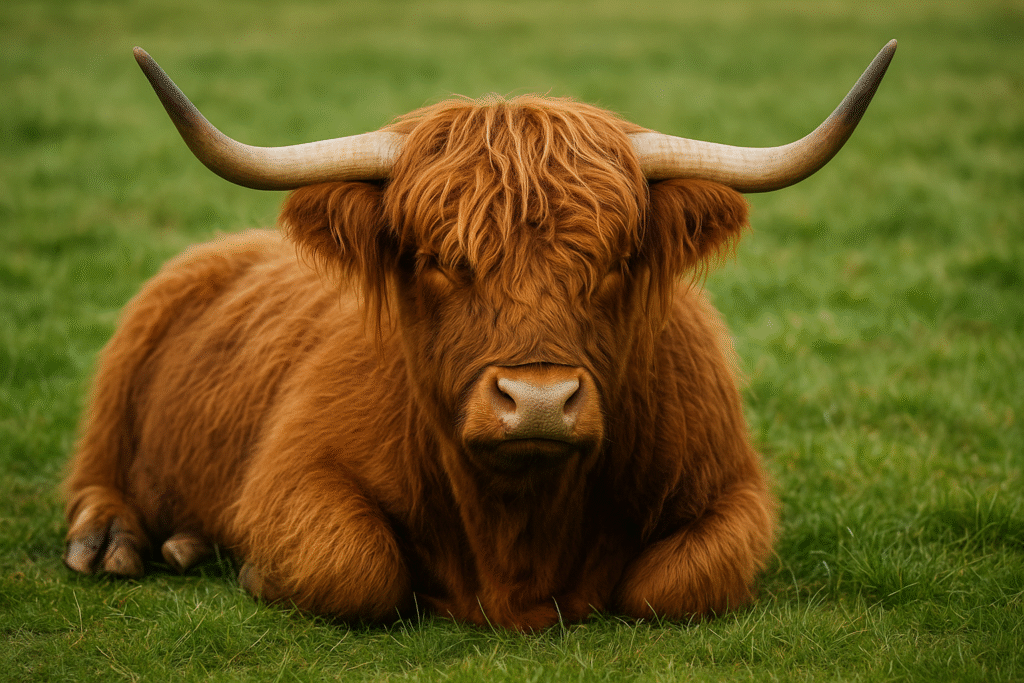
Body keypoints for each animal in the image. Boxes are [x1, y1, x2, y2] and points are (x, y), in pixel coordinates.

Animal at [62, 41, 896, 630]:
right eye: (438, 259)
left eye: (614, 260)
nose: (538, 400)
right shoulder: (292, 474)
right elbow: (354, 565)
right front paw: (255, 569)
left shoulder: (731, 489)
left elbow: (673, 583)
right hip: (120, 377)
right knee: (96, 471)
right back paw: (113, 541)